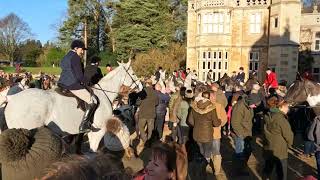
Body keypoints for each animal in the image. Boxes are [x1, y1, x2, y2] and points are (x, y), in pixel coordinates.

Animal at [3, 60, 141, 152]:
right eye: (133, 74)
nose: (141, 87)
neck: (103, 93)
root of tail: (12, 98)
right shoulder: (99, 131)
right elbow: (93, 149)